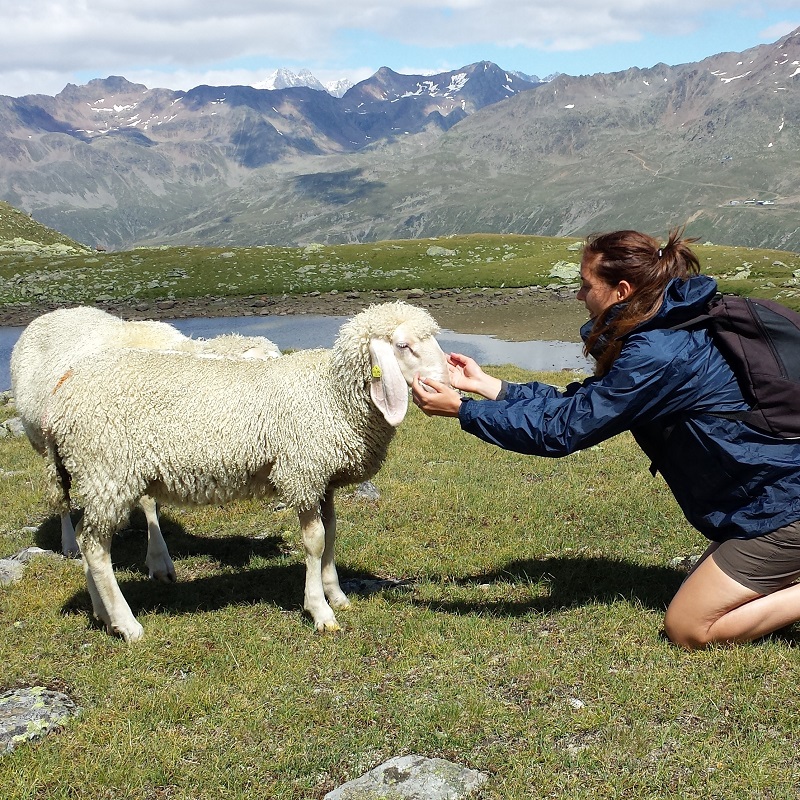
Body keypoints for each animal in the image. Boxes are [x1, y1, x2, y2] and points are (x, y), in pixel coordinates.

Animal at [10, 304, 282, 580]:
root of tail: (56, 312)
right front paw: (159, 559)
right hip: (46, 444)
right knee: (61, 497)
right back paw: (69, 543)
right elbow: (149, 503)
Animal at [40, 302, 446, 644]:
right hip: (108, 471)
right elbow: (315, 542)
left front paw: (337, 594)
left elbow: (331, 534)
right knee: (96, 547)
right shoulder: (301, 472)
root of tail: (61, 394)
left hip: (99, 478)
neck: (332, 394)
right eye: (404, 345)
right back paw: (127, 625)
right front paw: (320, 610)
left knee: (88, 539)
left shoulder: (323, 479)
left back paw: (102, 615)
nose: (447, 377)